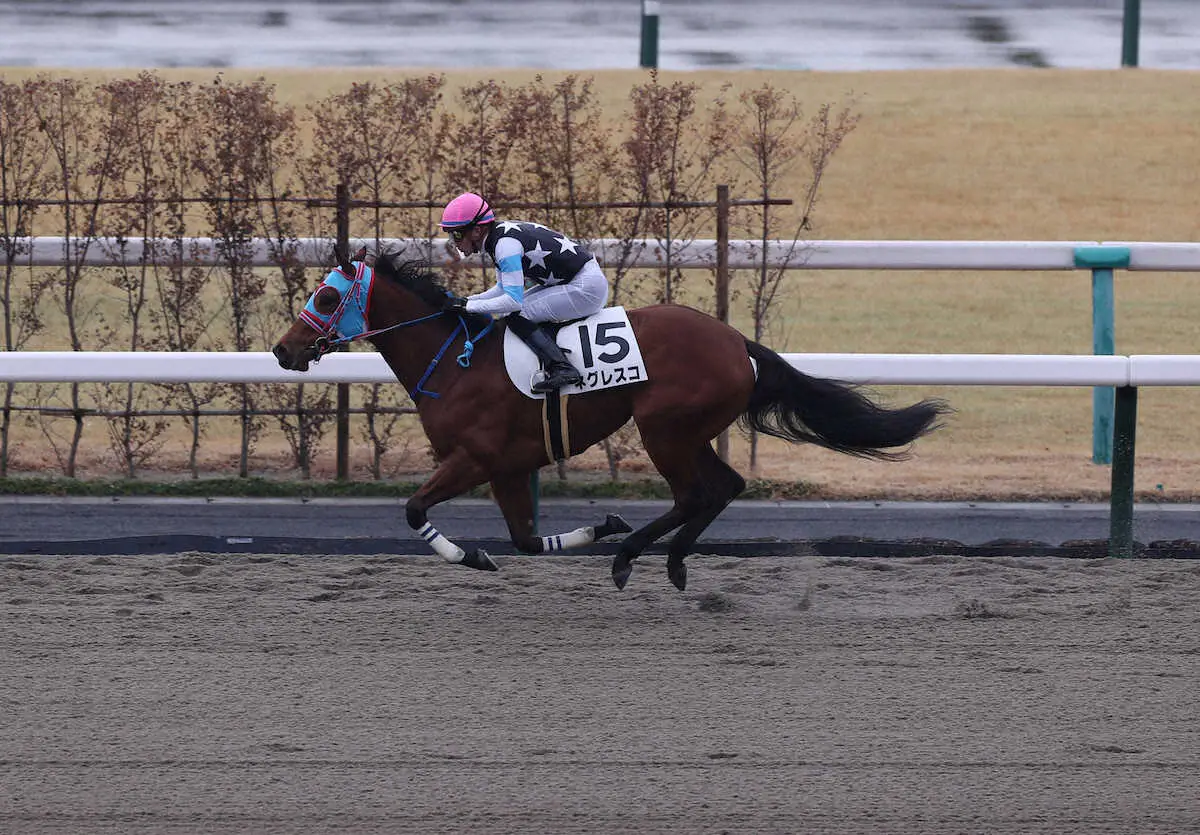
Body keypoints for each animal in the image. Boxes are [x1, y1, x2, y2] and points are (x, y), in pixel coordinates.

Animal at [272, 250, 945, 590]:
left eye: (326, 297)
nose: (283, 350)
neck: (454, 357)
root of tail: (737, 343)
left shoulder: (475, 458)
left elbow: (415, 510)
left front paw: (475, 557)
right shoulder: (508, 467)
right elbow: (525, 541)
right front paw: (593, 527)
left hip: (664, 429)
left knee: (696, 493)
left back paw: (631, 557)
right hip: (687, 431)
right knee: (723, 487)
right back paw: (670, 562)